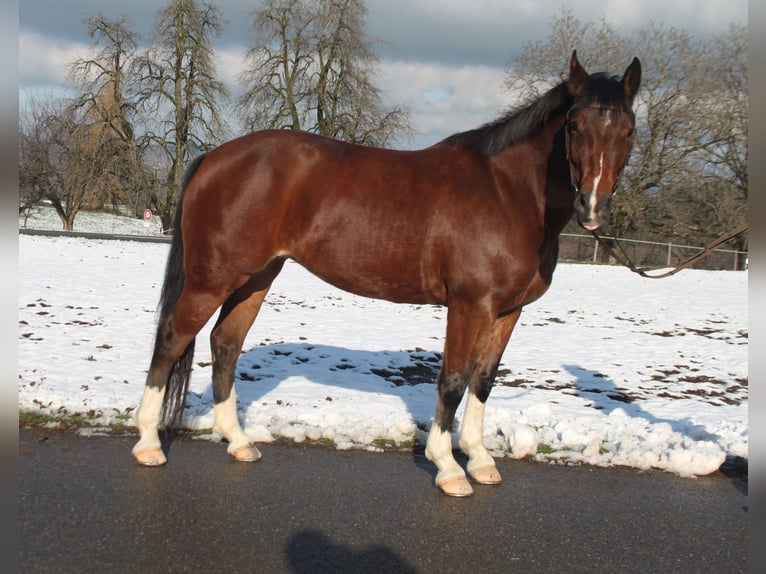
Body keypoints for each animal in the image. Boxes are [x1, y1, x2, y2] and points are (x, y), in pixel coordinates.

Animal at [132, 51, 641, 497]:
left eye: (630, 131)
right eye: (573, 125)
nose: (593, 206)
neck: (507, 192)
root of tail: (213, 158)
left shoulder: (507, 311)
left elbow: (483, 380)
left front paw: (479, 460)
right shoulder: (470, 305)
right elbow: (453, 380)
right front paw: (448, 468)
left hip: (256, 278)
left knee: (225, 344)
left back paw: (238, 443)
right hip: (212, 278)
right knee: (172, 337)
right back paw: (149, 444)